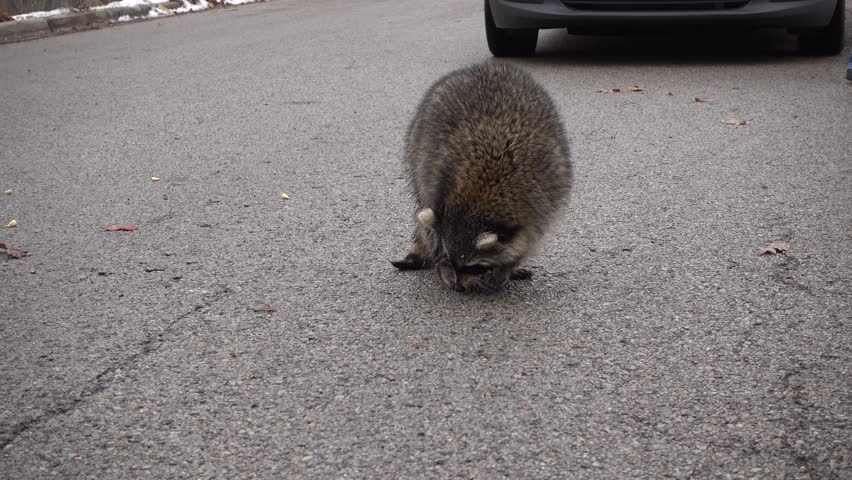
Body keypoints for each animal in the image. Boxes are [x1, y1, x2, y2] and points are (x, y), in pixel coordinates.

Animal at [392, 61, 572, 290]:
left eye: (474, 267)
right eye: (453, 260)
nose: (460, 287)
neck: (483, 190)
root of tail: (484, 66)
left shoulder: (544, 197)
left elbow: (529, 237)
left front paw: (508, 266)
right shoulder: (436, 175)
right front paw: (444, 265)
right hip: (417, 144)